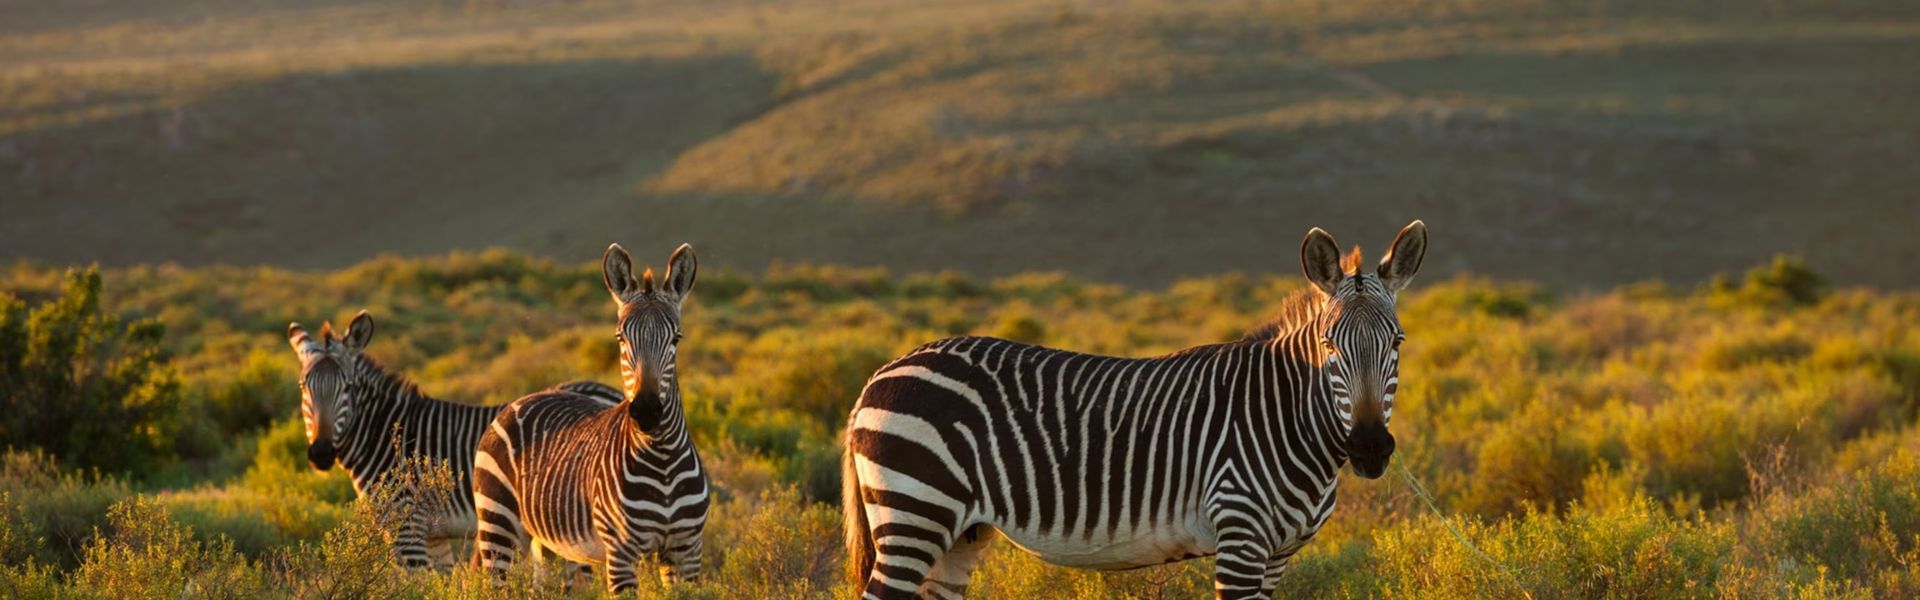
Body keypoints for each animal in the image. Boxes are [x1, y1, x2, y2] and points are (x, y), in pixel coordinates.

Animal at [286, 312, 621, 570]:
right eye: (303, 387)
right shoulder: (435, 537)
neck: (386, 437)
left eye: (349, 387)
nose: (321, 453)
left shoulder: (408, 528)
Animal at [470, 243, 711, 592]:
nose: (647, 411)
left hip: (547, 542)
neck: (663, 460)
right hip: (497, 523)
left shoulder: (687, 551)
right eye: (620, 338)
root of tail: (524, 397)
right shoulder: (621, 553)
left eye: (676, 338)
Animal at [844, 221, 1428, 599]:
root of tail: (880, 372)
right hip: (913, 513)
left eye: (1398, 342)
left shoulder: (1277, 556)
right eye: (1329, 346)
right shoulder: (1240, 538)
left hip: (958, 534)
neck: (1283, 417)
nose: (1370, 448)